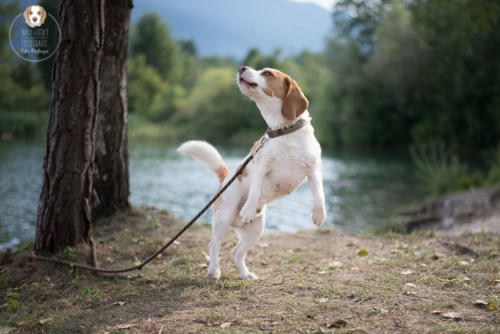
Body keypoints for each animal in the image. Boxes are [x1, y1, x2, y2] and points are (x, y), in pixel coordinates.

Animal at [178, 65, 326, 280]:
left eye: (267, 73)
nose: (242, 67)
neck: (285, 131)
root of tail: (225, 178)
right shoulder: (261, 168)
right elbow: (255, 191)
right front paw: (248, 208)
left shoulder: (313, 170)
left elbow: (320, 195)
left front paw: (319, 215)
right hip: (223, 219)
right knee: (214, 245)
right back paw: (214, 270)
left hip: (255, 231)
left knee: (236, 252)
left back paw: (245, 274)